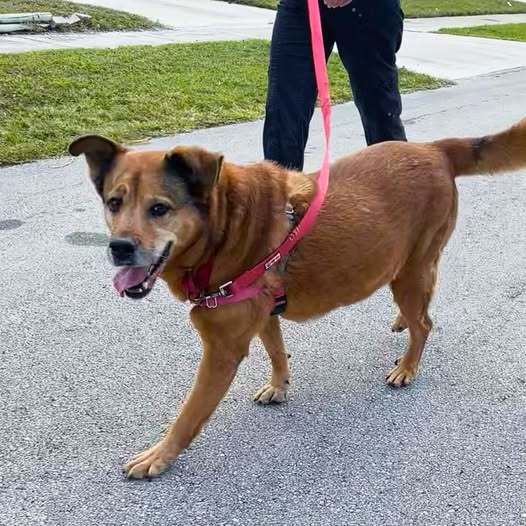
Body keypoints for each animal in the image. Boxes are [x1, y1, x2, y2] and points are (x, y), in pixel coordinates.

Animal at [69, 117, 526, 480]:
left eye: (159, 208)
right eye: (115, 203)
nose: (119, 248)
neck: (223, 226)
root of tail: (434, 149)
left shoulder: (221, 350)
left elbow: (188, 415)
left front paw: (159, 456)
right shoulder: (265, 314)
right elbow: (276, 351)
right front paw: (279, 385)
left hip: (412, 271)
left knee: (425, 323)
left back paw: (408, 366)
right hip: (405, 268)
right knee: (420, 307)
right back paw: (401, 322)